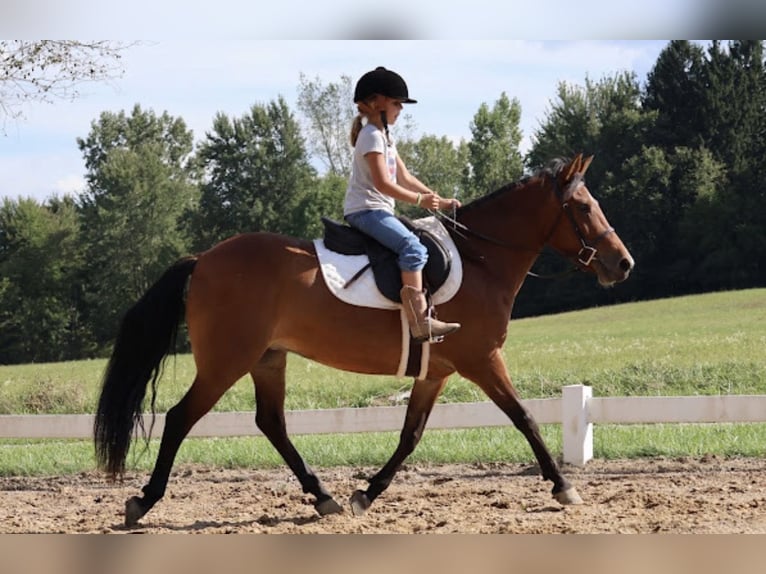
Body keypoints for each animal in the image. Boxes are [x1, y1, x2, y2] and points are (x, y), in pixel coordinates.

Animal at [94, 154, 634, 527]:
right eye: (583, 207)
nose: (623, 263)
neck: (482, 260)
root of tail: (204, 258)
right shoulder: (483, 360)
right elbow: (525, 418)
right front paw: (563, 487)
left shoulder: (436, 372)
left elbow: (410, 435)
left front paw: (365, 494)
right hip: (226, 361)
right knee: (181, 417)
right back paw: (143, 501)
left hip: (268, 358)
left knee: (271, 423)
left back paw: (325, 497)